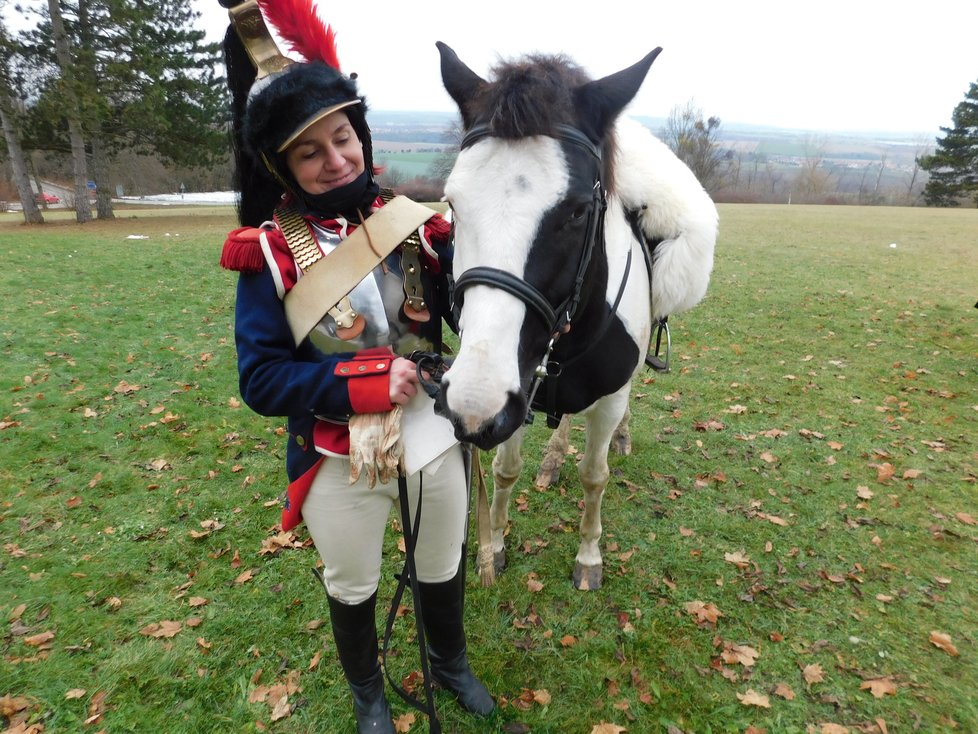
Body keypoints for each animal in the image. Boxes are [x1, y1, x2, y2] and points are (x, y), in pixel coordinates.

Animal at [434, 41, 716, 592]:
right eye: (452, 202)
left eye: (580, 211)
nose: (472, 406)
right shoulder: (519, 390)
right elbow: (505, 470)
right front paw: (494, 546)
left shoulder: (600, 396)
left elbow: (594, 475)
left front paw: (588, 556)